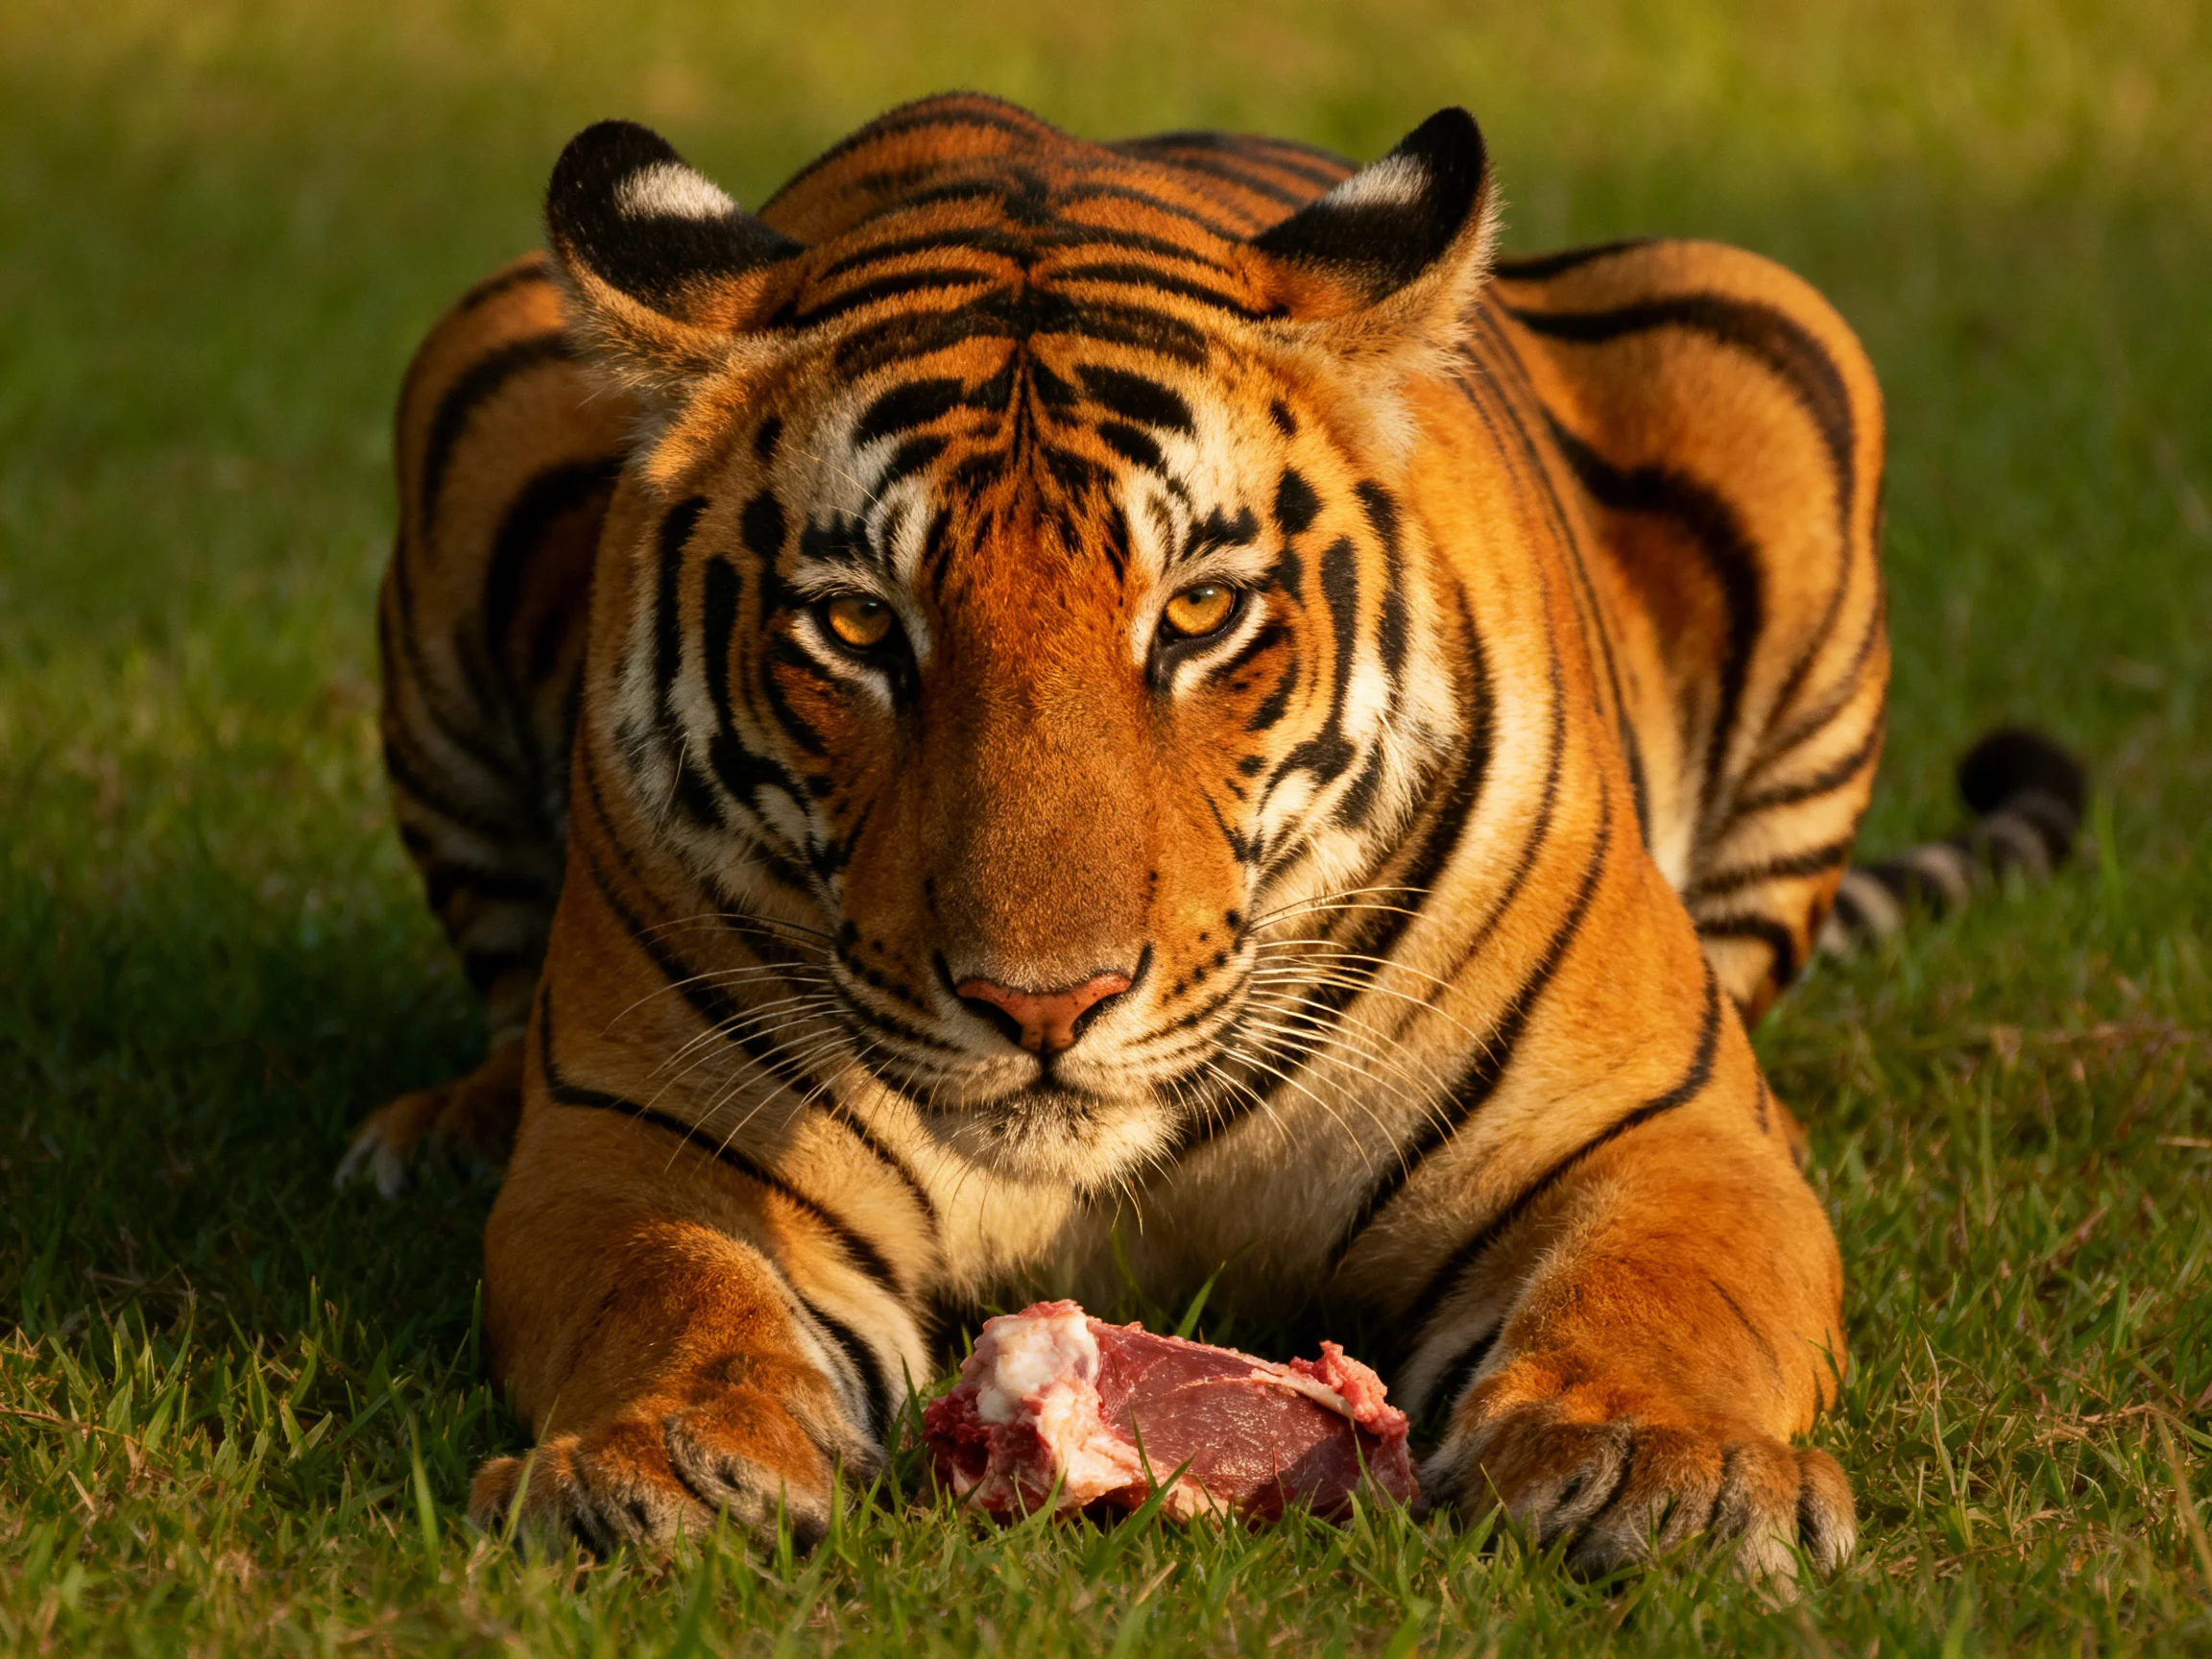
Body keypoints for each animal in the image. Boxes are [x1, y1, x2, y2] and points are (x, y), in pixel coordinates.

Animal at [342, 93, 2083, 1578]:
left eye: (1193, 613)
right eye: (856, 625)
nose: (1042, 1005)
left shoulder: (1653, 1125)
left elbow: (1666, 1290)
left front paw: (1666, 1468)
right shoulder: (642, 1140)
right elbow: (669, 1284)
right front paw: (652, 1461)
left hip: (1764, 327)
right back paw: (445, 1127)